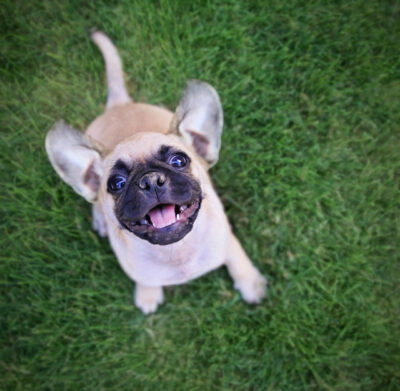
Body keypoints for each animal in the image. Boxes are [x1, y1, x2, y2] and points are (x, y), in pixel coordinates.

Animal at [45, 30, 266, 314]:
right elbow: (144, 278)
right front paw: (147, 294)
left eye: (179, 161)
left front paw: (251, 284)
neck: (176, 252)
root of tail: (119, 105)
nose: (150, 181)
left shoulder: (228, 241)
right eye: (116, 183)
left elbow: (239, 261)